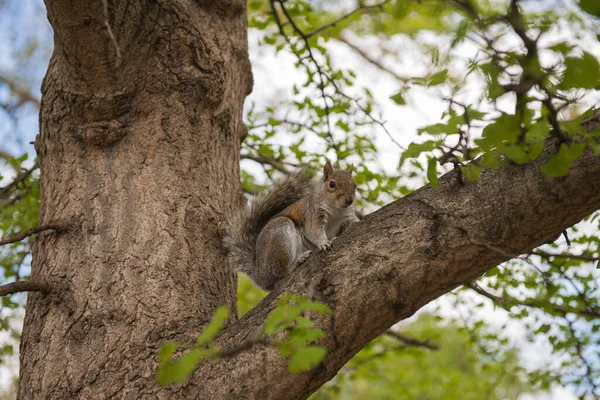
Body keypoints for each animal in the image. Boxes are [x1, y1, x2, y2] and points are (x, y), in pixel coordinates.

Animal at [224, 161, 356, 290]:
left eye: (354, 185)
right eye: (332, 184)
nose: (349, 200)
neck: (336, 210)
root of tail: (258, 273)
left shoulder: (346, 219)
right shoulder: (313, 214)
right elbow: (314, 231)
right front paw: (324, 243)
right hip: (280, 235)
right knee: (278, 273)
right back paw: (298, 261)